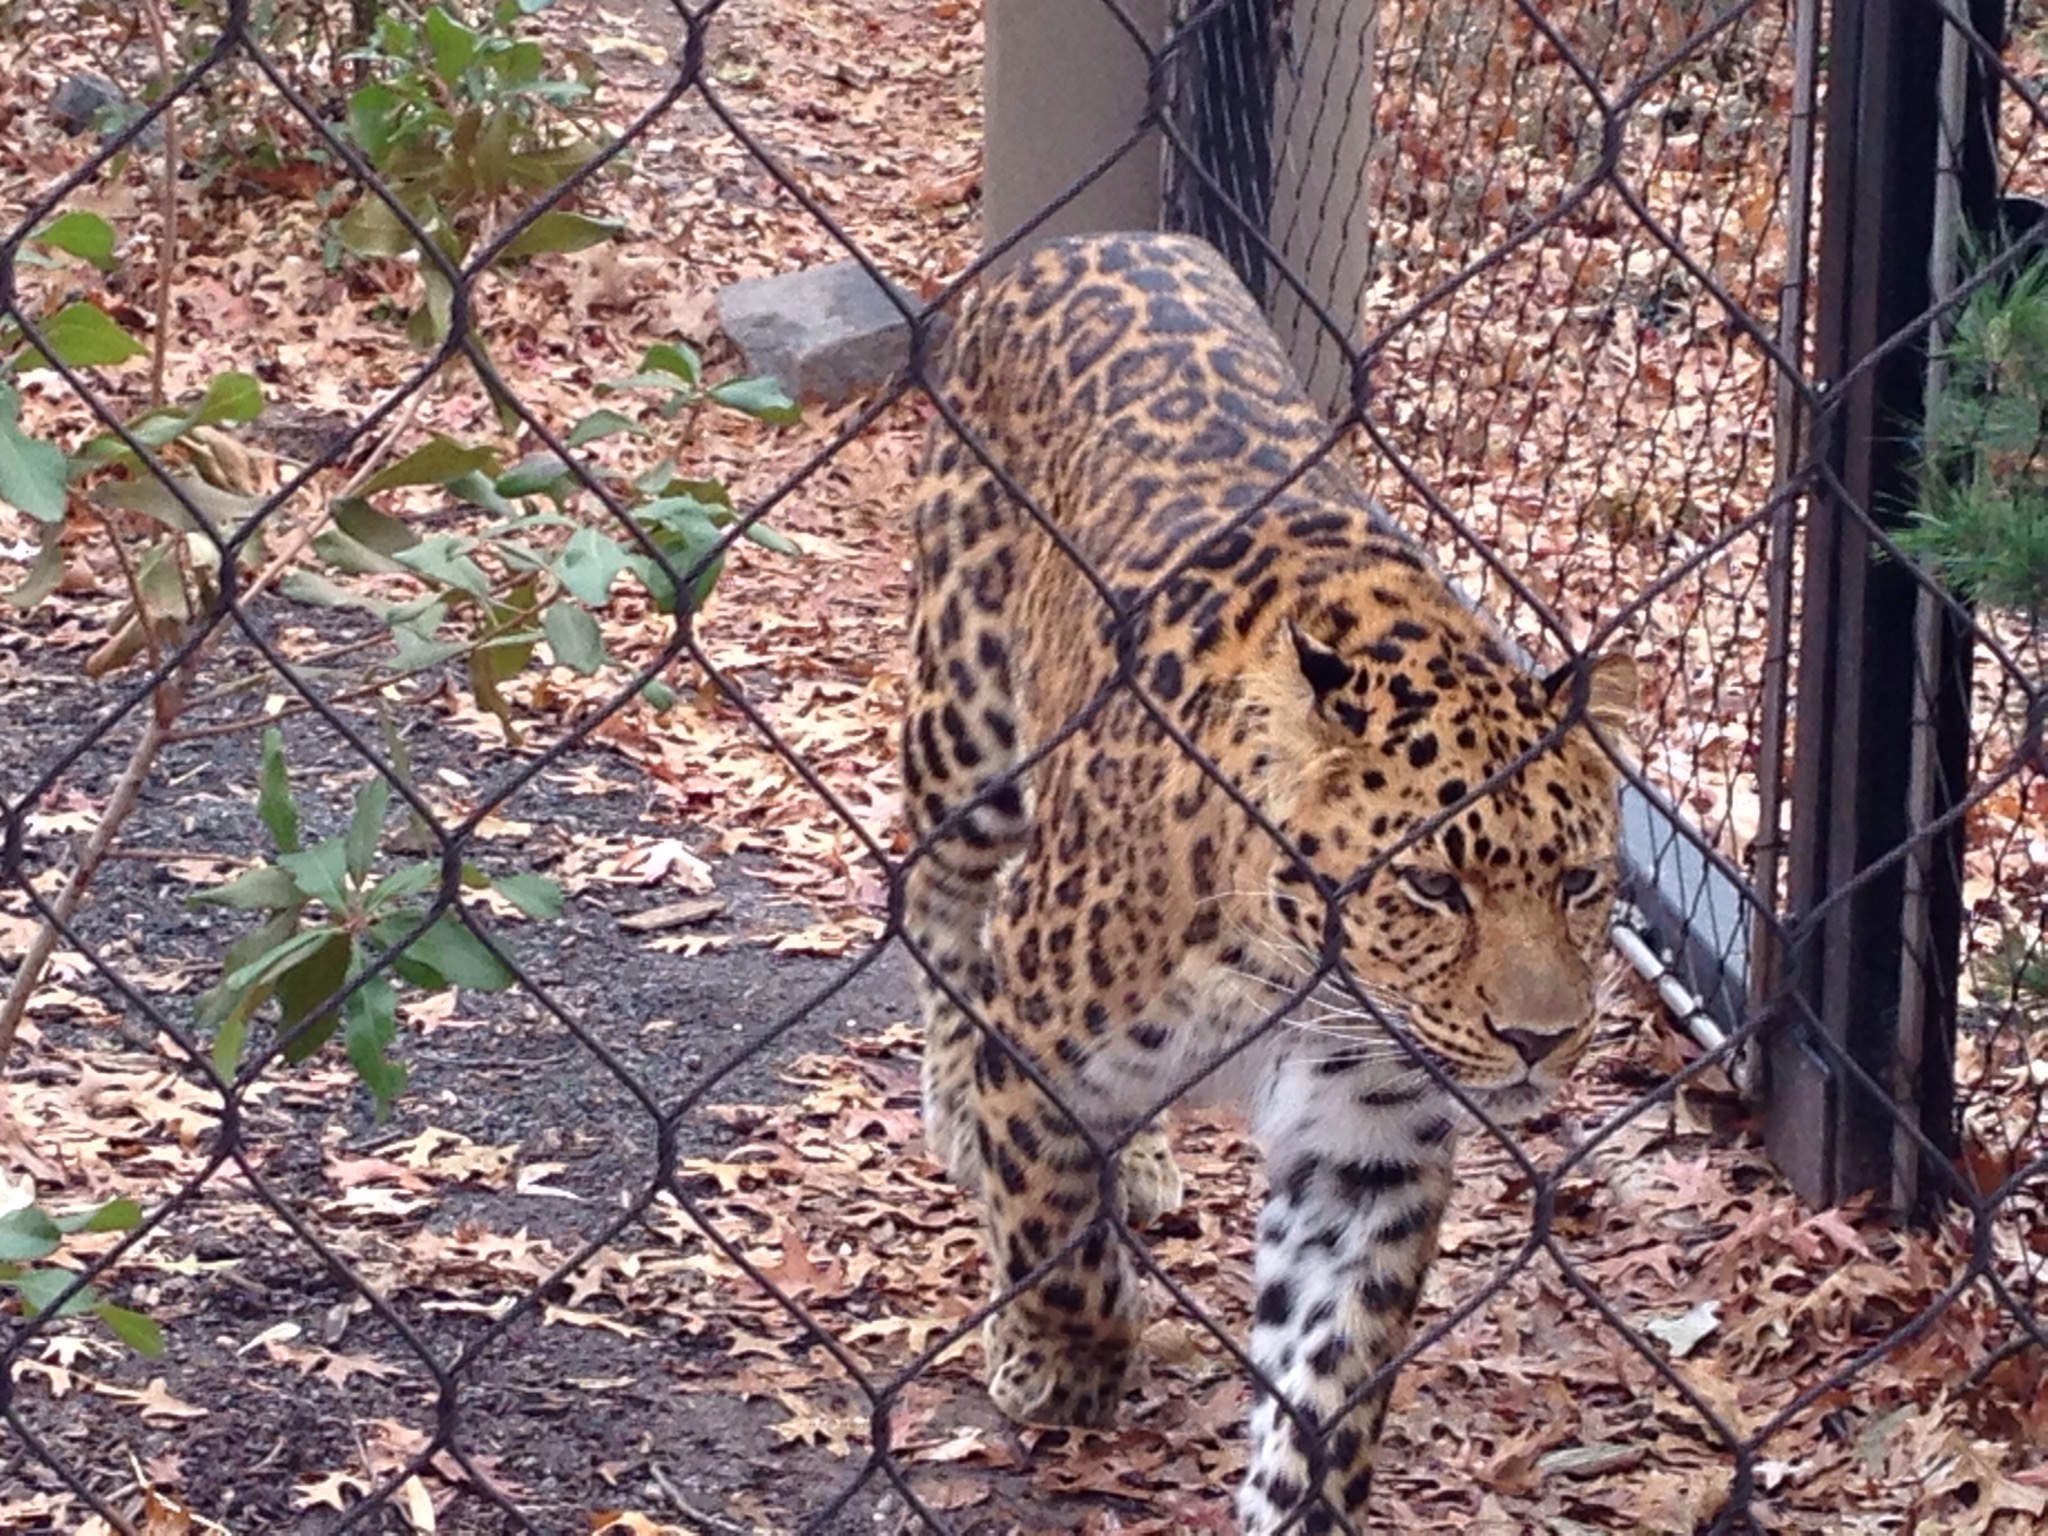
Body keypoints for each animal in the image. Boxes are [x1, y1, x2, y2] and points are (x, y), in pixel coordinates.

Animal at [899, 230, 1636, 1535]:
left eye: (1582, 881)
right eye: (1432, 887)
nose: (1541, 1040)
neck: (1287, 978)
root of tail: (1098, 238)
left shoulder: (1365, 1147)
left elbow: (1330, 1369)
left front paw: (1296, 1502)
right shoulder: (1039, 1027)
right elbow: (1050, 1218)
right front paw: (1061, 1362)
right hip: (964, 728)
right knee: (938, 906)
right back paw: (953, 1102)